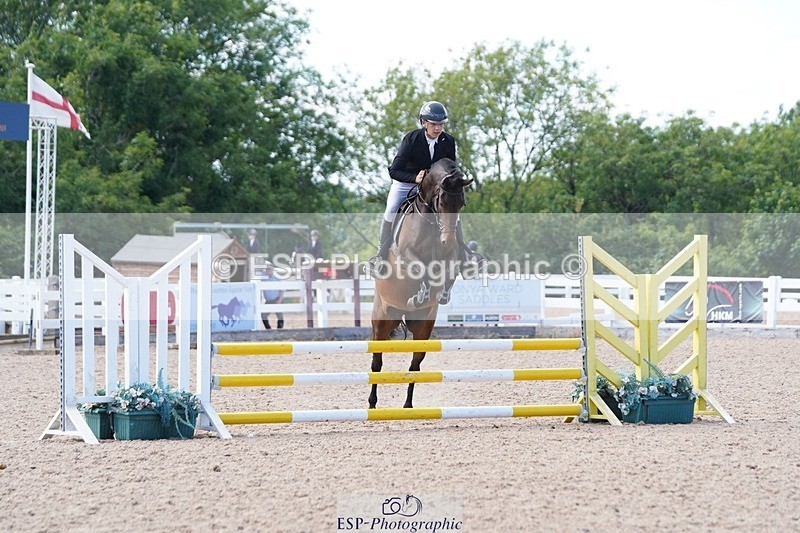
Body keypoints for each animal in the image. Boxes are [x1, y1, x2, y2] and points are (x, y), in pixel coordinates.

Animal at [369, 158, 473, 409]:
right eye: (442, 201)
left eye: (462, 203)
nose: (447, 240)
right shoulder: (406, 255)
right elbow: (421, 269)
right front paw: (420, 294)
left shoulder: (452, 256)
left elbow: (450, 269)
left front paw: (441, 294)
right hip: (382, 321)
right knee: (377, 363)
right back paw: (372, 403)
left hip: (422, 327)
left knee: (415, 365)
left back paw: (407, 405)